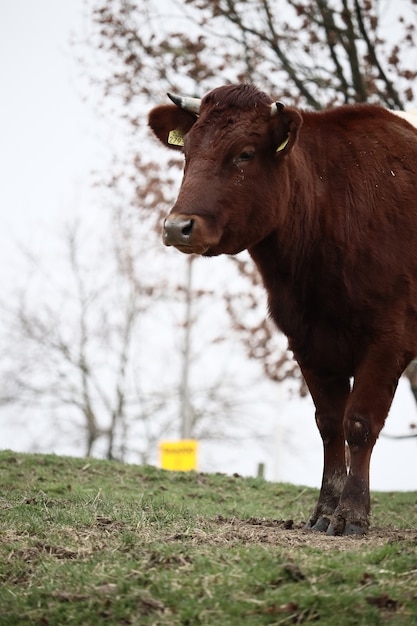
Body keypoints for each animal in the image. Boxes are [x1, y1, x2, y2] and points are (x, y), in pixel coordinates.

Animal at [149, 81, 417, 532]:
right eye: (187, 153)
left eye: (244, 153)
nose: (176, 226)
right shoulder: (306, 341)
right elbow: (329, 423)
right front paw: (324, 511)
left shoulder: (389, 337)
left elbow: (359, 422)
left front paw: (351, 514)